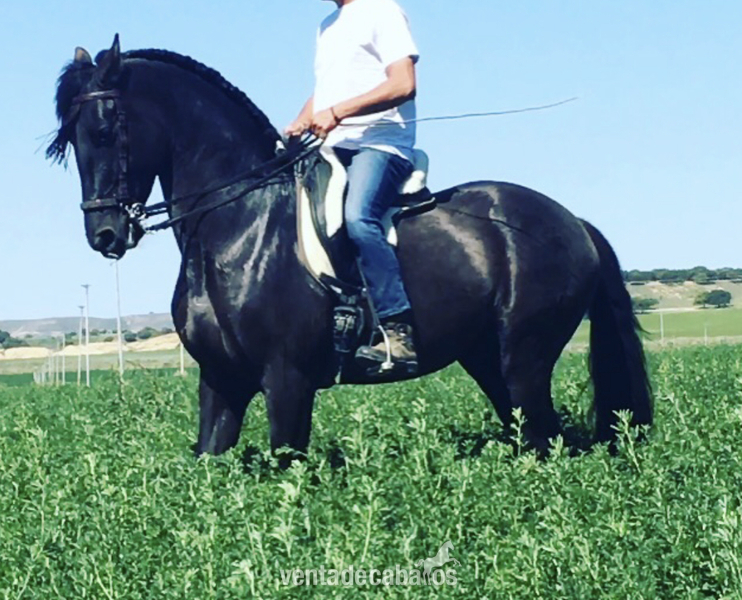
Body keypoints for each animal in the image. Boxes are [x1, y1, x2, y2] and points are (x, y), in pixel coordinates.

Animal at [47, 36, 651, 464]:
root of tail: (572, 221)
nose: (105, 235)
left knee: (546, 440)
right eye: (70, 139)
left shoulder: (286, 380)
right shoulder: (220, 380)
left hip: (523, 357)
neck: (239, 225)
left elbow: (285, 468)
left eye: (105, 129)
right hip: (485, 359)